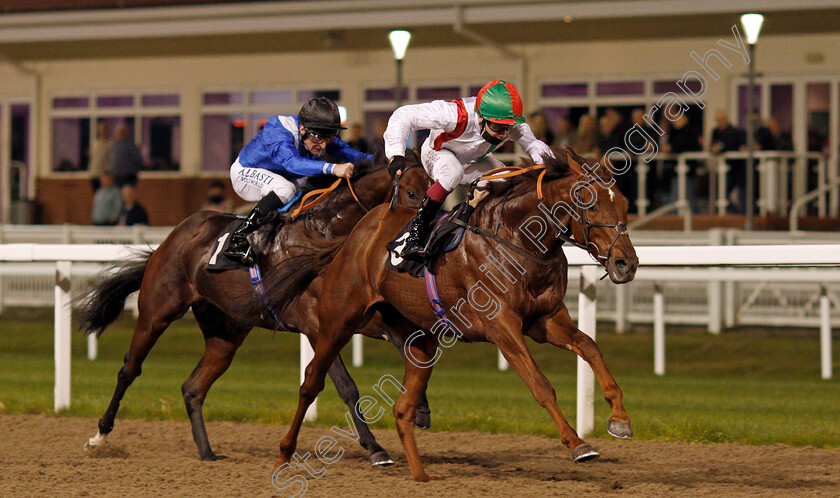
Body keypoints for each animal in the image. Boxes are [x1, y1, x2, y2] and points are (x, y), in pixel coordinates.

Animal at [77, 154, 434, 464]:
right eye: (412, 193)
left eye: (433, 188)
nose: (423, 242)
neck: (327, 237)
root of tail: (170, 239)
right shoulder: (317, 326)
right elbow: (346, 386)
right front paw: (375, 448)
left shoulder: (360, 317)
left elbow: (407, 344)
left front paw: (421, 408)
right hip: (157, 311)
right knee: (130, 368)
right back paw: (99, 435)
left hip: (225, 333)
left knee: (193, 388)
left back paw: (207, 452)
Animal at [268, 149, 636, 482]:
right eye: (590, 204)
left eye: (624, 204)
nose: (627, 264)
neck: (518, 239)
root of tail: (359, 230)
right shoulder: (501, 326)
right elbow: (540, 384)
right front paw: (578, 444)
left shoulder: (545, 320)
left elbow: (589, 347)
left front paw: (619, 418)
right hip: (337, 321)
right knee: (312, 382)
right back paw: (285, 455)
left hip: (419, 340)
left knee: (402, 408)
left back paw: (420, 476)